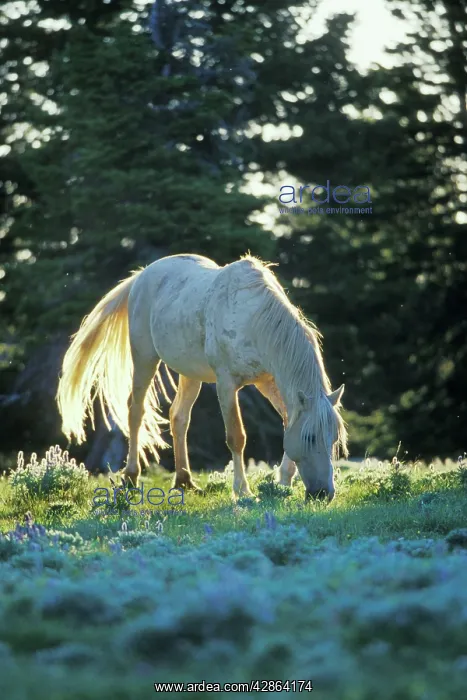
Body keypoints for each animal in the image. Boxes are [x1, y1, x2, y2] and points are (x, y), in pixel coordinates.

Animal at [57, 253, 348, 501]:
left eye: (333, 439)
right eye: (311, 438)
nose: (323, 493)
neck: (254, 318)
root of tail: (143, 274)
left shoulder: (268, 382)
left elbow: (288, 422)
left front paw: (284, 481)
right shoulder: (226, 383)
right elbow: (236, 437)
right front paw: (243, 491)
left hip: (190, 374)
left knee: (179, 417)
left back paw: (184, 481)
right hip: (144, 358)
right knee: (135, 412)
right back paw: (130, 476)